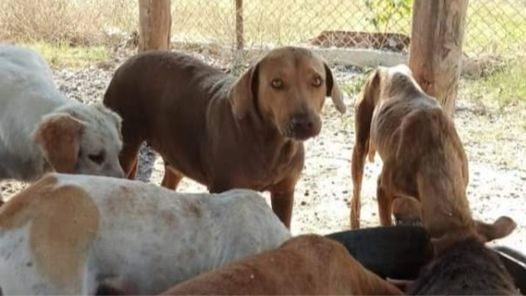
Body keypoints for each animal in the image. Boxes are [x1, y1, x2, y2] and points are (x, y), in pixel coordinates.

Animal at [104, 46, 348, 228]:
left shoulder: (284, 192)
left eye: (317, 81)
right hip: (125, 152)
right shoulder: (226, 191)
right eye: (276, 83)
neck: (270, 143)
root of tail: (124, 65)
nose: (304, 123)